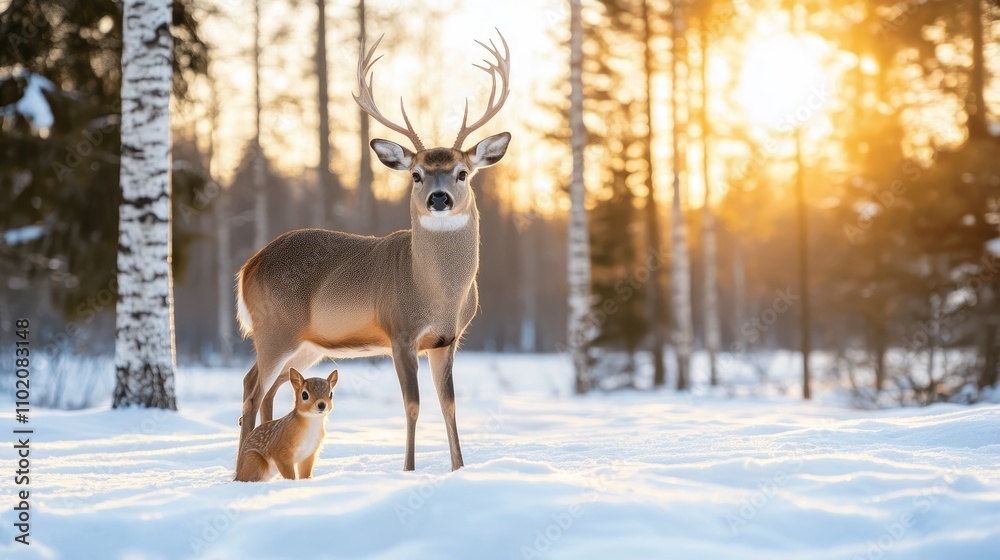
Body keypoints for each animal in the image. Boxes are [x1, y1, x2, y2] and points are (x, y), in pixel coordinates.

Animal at [235, 31, 511, 472]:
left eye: (463, 173)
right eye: (416, 174)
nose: (438, 198)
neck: (438, 293)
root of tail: (248, 265)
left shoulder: (446, 340)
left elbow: (449, 405)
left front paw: (459, 468)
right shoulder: (399, 332)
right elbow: (413, 405)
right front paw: (409, 469)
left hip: (306, 343)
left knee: (264, 387)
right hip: (273, 327)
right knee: (252, 390)